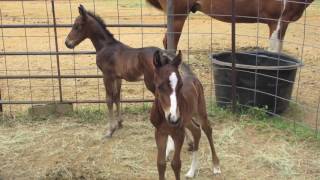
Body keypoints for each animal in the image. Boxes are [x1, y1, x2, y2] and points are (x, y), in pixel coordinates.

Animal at [65, 5, 160, 138]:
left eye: (77, 26)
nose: (67, 43)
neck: (106, 46)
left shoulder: (107, 75)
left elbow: (109, 100)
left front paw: (110, 130)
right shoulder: (117, 77)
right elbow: (117, 97)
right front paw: (119, 123)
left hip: (152, 83)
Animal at [150, 50, 220, 179]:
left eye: (180, 85)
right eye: (159, 86)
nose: (173, 118)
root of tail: (192, 76)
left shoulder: (179, 133)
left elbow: (176, 164)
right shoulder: (159, 132)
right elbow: (160, 164)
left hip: (200, 111)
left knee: (207, 130)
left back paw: (216, 165)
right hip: (187, 120)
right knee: (196, 130)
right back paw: (192, 171)